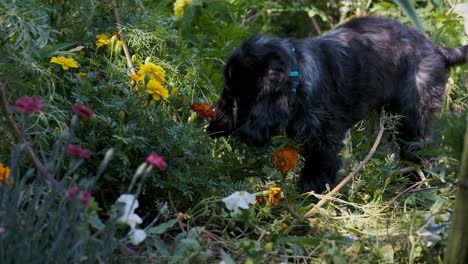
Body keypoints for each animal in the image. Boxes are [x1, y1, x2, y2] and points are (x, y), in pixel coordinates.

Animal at [208, 17, 468, 194]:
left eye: (244, 97)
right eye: (228, 92)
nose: (219, 124)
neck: (297, 75)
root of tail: (437, 49)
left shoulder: (326, 138)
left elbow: (319, 169)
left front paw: (309, 196)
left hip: (413, 116)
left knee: (422, 150)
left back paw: (418, 183)